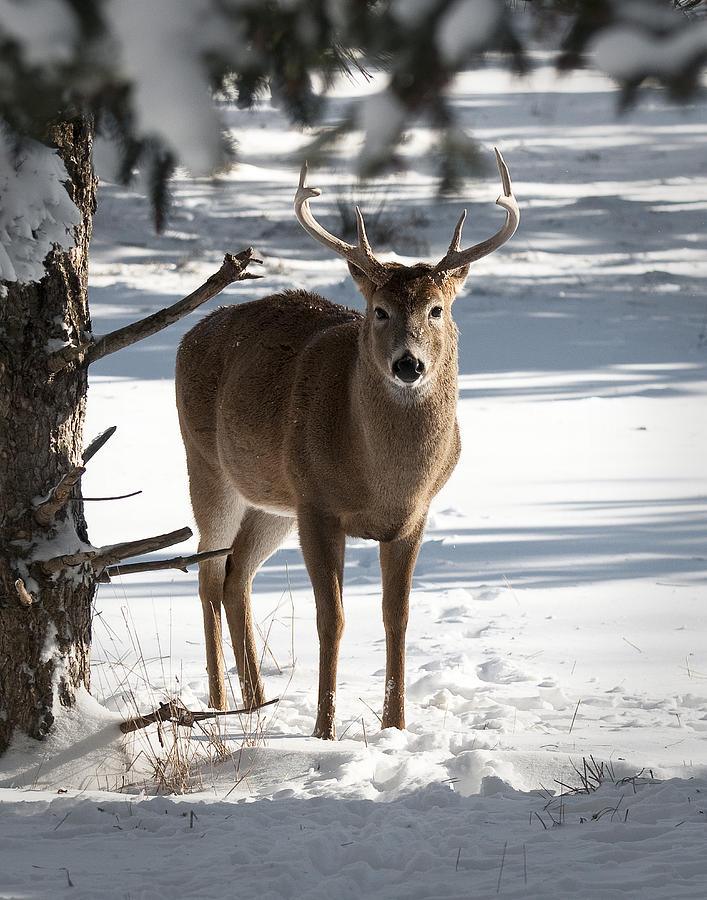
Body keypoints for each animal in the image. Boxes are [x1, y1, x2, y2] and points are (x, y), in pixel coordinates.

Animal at [177, 148, 520, 740]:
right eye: (379, 310)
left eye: (436, 309)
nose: (408, 364)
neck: (381, 480)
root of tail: (185, 337)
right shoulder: (317, 505)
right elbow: (330, 617)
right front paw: (324, 730)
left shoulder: (413, 516)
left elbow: (396, 615)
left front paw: (396, 726)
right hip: (208, 467)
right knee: (206, 573)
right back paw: (220, 705)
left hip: (273, 502)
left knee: (236, 575)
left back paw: (256, 703)